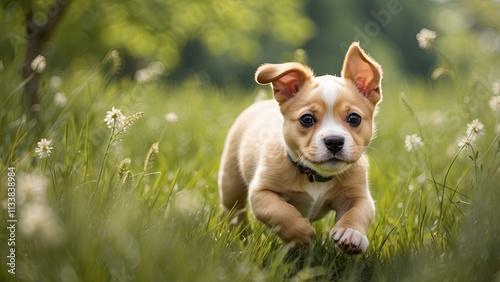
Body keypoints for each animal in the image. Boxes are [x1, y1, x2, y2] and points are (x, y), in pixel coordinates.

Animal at [219, 43, 382, 254]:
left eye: (354, 118)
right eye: (307, 119)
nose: (334, 141)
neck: (316, 176)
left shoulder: (359, 196)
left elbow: (358, 213)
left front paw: (351, 233)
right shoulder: (262, 192)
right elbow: (280, 212)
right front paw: (300, 233)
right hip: (230, 183)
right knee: (235, 211)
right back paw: (240, 235)